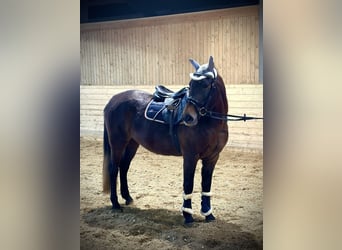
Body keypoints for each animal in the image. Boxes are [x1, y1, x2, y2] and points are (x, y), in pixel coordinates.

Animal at [103, 56, 228, 225]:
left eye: (205, 85)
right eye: (190, 85)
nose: (188, 117)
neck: (210, 123)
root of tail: (113, 100)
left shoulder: (212, 158)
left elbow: (206, 185)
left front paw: (208, 214)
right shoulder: (190, 156)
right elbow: (188, 184)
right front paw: (188, 216)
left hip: (132, 144)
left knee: (124, 167)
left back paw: (128, 198)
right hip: (117, 143)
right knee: (114, 168)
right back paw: (115, 204)